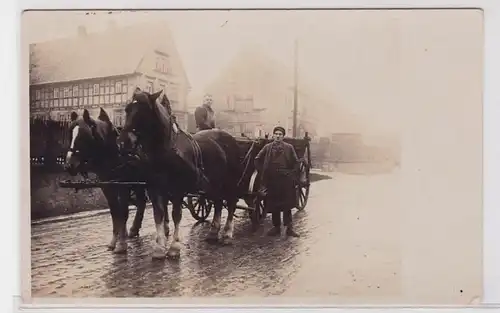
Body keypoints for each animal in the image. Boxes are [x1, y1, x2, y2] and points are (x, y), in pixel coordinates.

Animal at [63, 107, 148, 254]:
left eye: (83, 136)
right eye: (70, 134)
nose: (69, 165)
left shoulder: (123, 185)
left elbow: (123, 212)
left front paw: (121, 244)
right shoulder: (107, 186)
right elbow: (115, 212)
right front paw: (114, 241)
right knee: (142, 202)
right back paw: (133, 230)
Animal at [117, 88, 242, 258]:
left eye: (143, 111)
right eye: (127, 109)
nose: (123, 142)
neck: (165, 151)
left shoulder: (178, 189)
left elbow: (176, 215)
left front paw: (174, 247)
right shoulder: (155, 189)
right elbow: (158, 215)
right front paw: (159, 247)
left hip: (230, 182)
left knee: (231, 203)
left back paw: (228, 234)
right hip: (215, 184)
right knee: (217, 202)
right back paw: (213, 233)